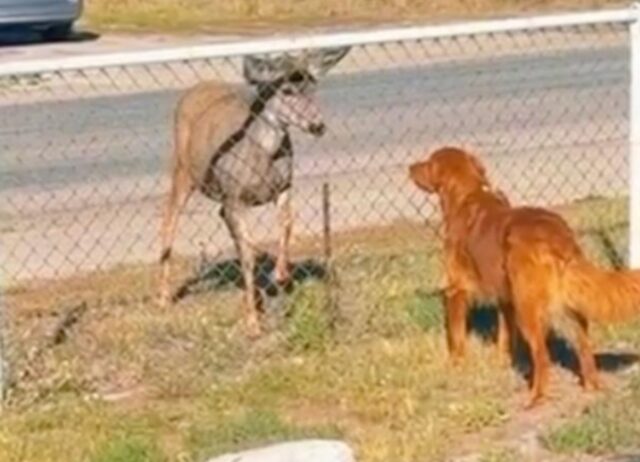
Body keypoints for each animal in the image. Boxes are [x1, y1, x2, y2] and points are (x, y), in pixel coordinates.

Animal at [159, 46, 350, 336]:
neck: (262, 153)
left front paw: (280, 275)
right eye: (286, 91)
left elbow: (287, 224)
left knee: (223, 221)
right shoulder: (235, 196)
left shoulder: (283, 186)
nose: (318, 126)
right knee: (169, 220)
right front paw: (253, 323)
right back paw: (163, 296)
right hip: (183, 169)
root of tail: (193, 89)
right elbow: (248, 255)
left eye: (313, 87)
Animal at [410, 146, 640, 406]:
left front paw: (456, 365)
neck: (468, 196)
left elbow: (456, 337)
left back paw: (536, 397)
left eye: (428, 162)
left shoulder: (456, 289)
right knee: (583, 344)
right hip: (563, 303)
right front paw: (502, 364)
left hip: (527, 307)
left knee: (542, 356)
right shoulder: (505, 299)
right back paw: (591, 385)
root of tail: (555, 234)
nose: (410, 168)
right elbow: (505, 338)